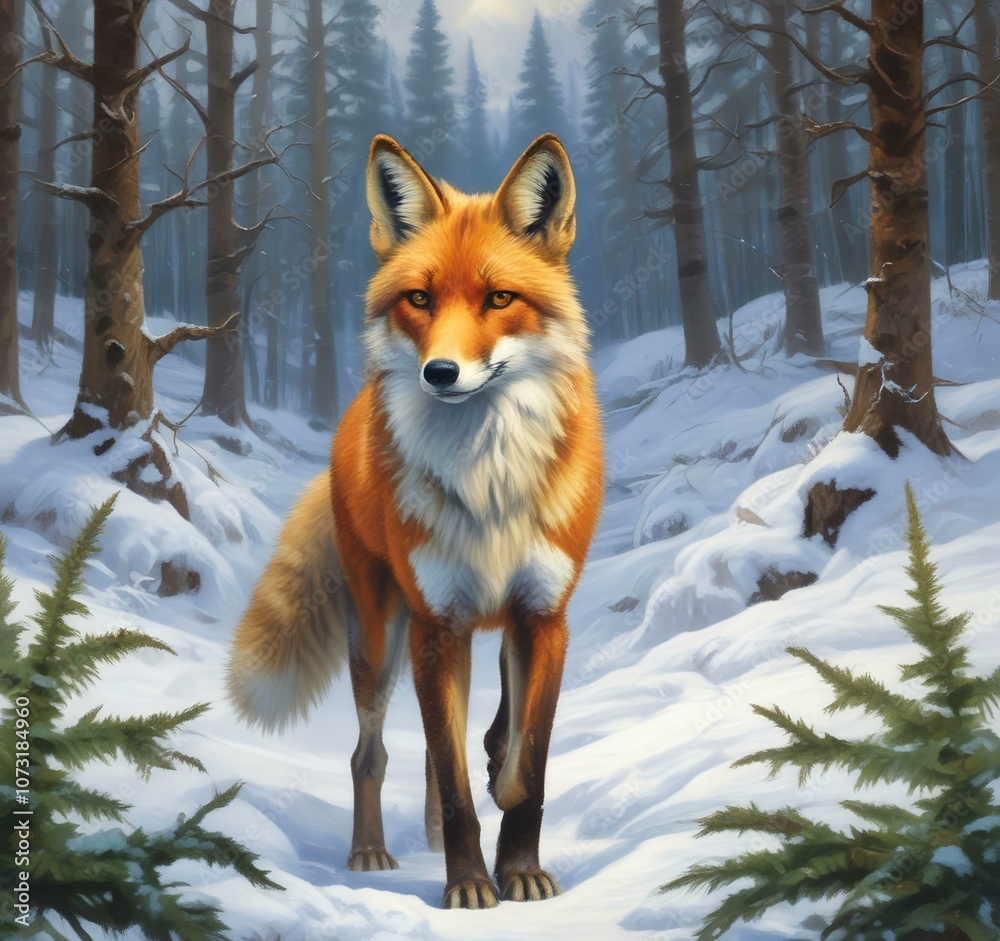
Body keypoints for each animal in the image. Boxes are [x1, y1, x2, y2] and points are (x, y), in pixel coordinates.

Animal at [226, 133, 604, 910]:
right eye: (420, 299)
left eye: (499, 298)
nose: (440, 373)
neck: (489, 485)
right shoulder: (438, 623)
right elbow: (458, 783)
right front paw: (470, 883)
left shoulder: (543, 616)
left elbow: (528, 762)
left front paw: (520, 864)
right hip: (379, 642)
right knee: (371, 753)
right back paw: (371, 850)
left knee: (449, 743)